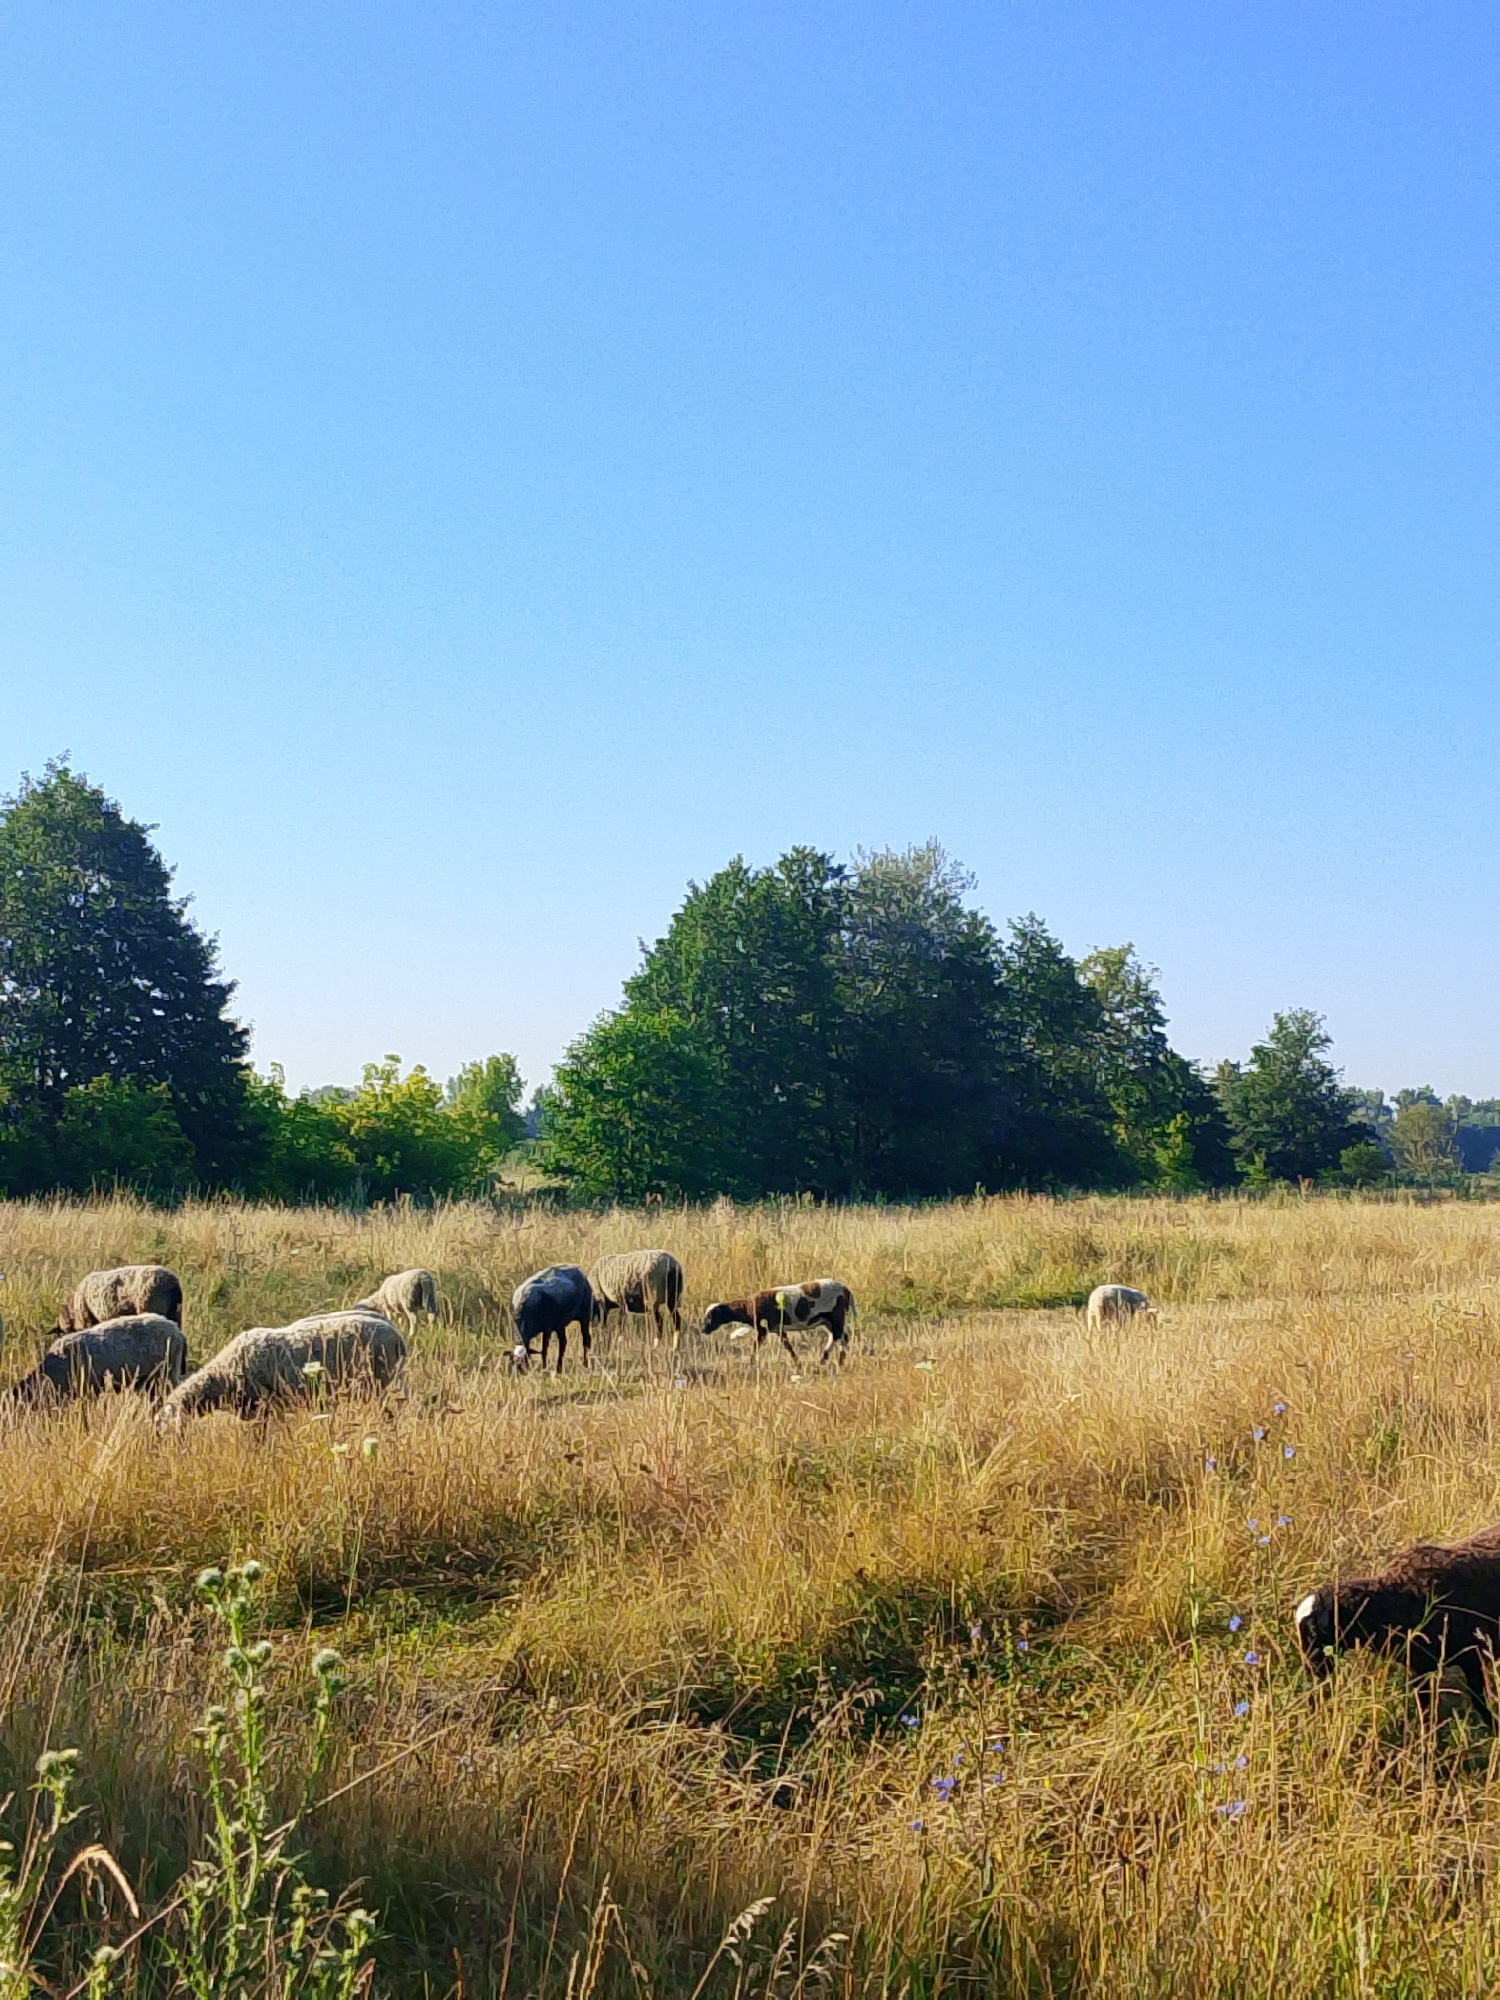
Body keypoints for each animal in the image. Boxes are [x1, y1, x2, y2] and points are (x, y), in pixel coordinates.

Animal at [701, 1279, 855, 1363]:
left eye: (710, 1317)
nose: (704, 1330)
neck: (748, 1306)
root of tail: (846, 1289)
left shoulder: (763, 1329)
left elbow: (755, 1346)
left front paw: (751, 1362)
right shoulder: (777, 1328)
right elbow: (787, 1345)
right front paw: (797, 1362)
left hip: (836, 1316)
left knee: (839, 1337)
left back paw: (831, 1361)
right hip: (827, 1320)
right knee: (839, 1337)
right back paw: (831, 1360)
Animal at [1294, 1524, 1500, 1727]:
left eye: (1313, 1631)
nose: (1311, 1672)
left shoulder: (1472, 1655)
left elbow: (1481, 1702)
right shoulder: (1419, 1668)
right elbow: (1424, 1711)